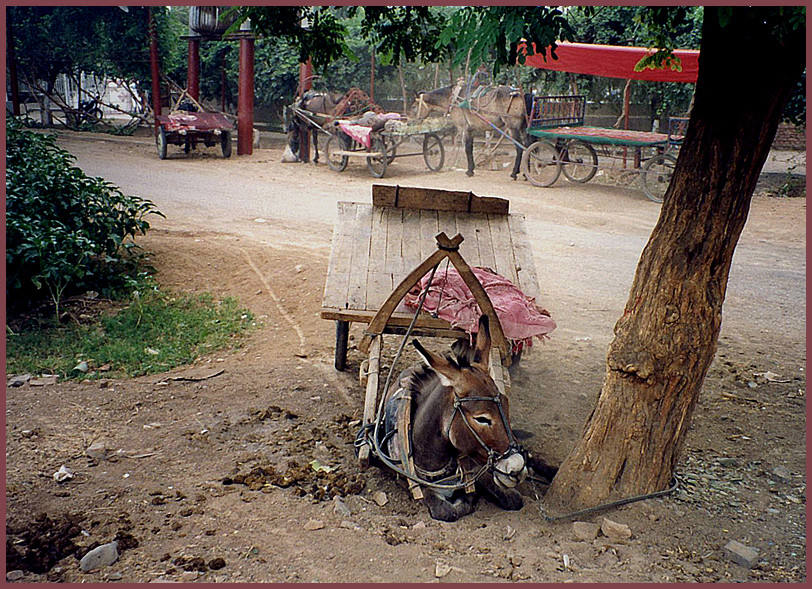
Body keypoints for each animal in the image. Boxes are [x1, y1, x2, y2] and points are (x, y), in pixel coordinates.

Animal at [368, 314, 552, 520]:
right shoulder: (420, 488)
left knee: (532, 457)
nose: (517, 467)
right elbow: (447, 511)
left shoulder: (478, 468)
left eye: (506, 405)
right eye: (482, 419)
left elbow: (512, 498)